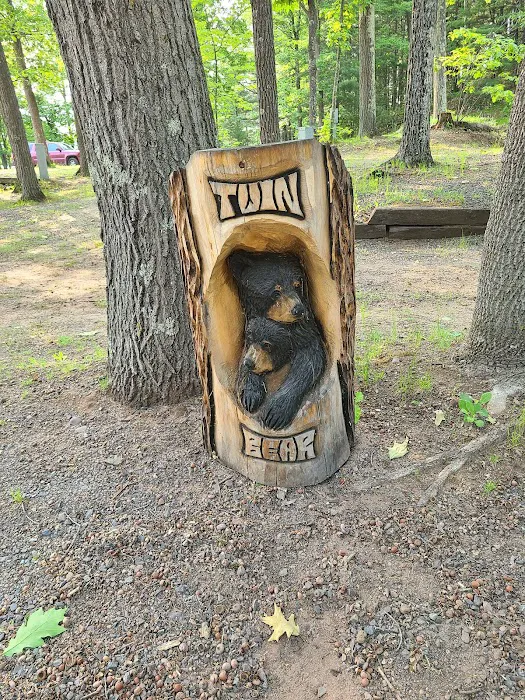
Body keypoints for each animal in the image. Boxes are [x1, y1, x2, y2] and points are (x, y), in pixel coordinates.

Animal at [229, 250, 326, 431]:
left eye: (297, 284)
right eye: (276, 291)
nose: (298, 309)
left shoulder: (306, 330)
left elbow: (310, 360)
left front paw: (276, 412)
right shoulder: (250, 325)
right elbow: (245, 353)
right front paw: (250, 395)